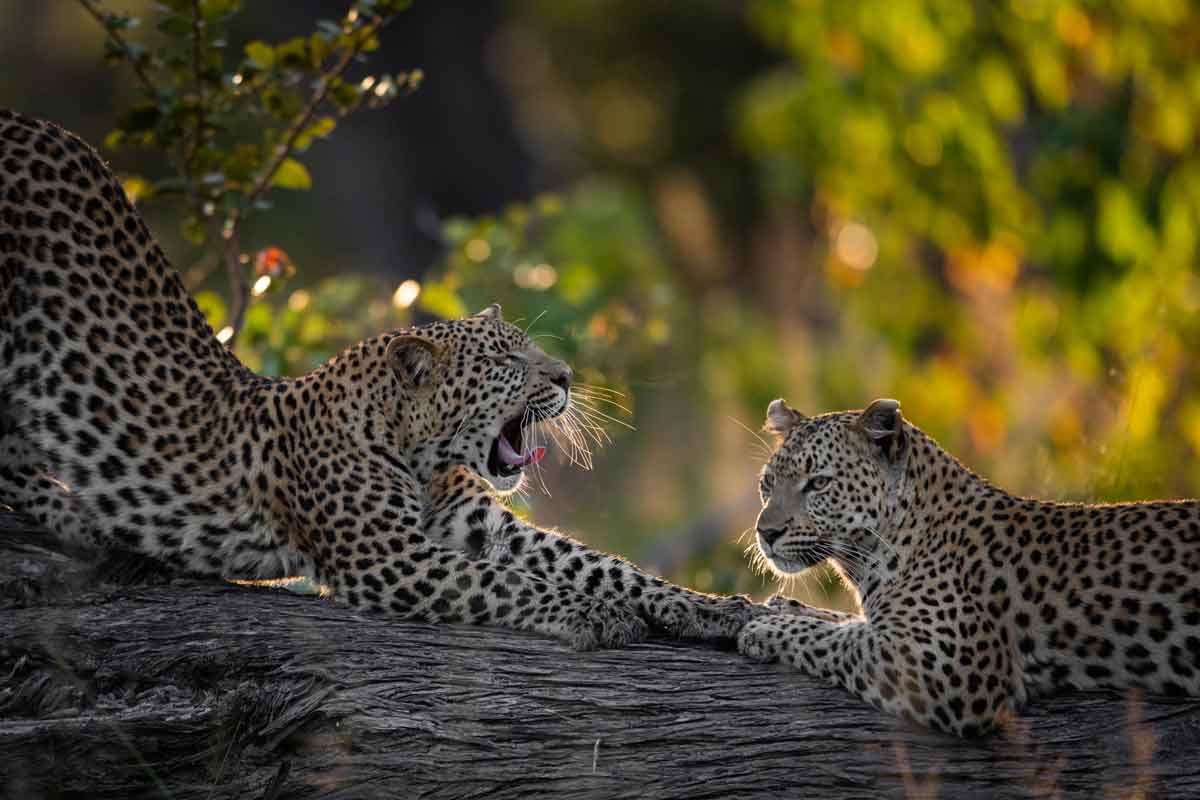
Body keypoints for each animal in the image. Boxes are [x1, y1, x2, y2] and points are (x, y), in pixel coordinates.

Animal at [0, 109, 753, 652]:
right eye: (508, 363)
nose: (568, 377)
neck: (415, 449)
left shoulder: (478, 522)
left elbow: (602, 563)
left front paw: (711, 608)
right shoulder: (390, 559)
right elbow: (512, 583)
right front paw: (594, 613)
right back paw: (84, 518)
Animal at [734, 398, 1200, 734]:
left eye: (819, 483)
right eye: (767, 484)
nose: (765, 532)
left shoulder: (946, 664)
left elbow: (838, 641)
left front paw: (766, 628)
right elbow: (847, 623)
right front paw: (779, 608)